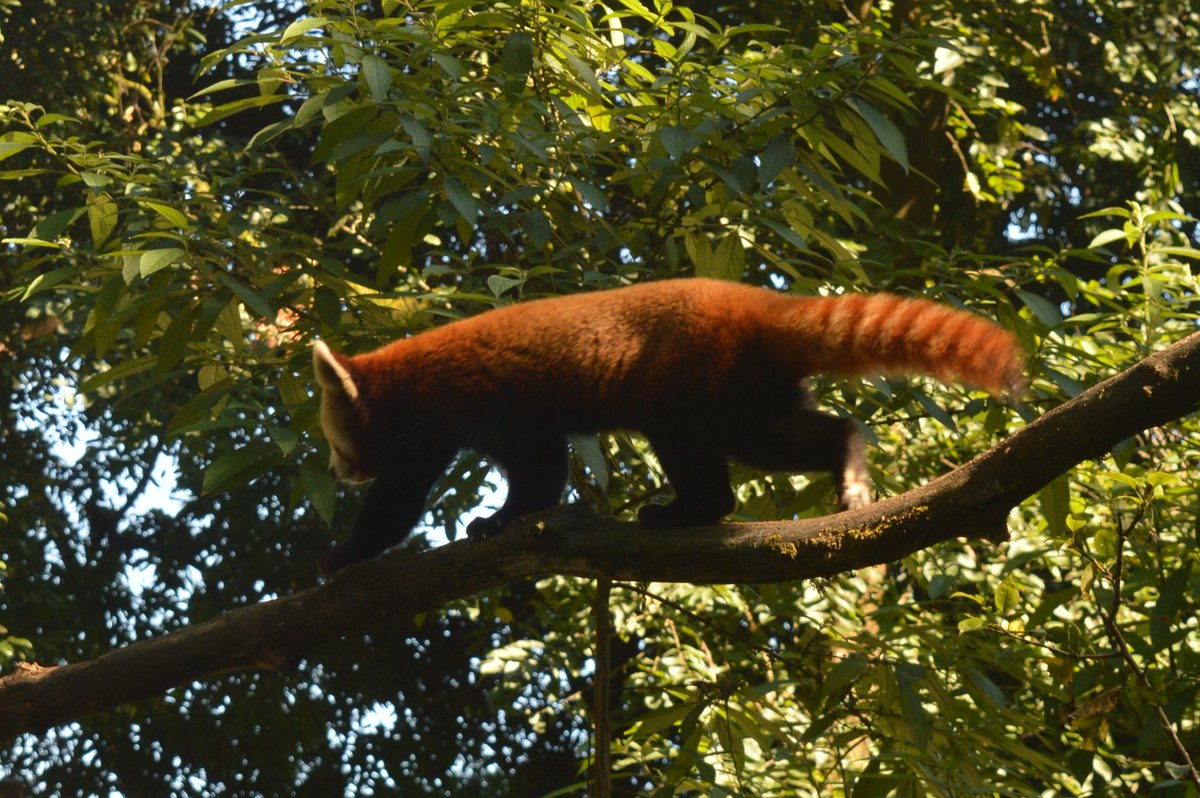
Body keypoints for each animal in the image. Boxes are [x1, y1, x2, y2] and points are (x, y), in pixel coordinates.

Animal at [312, 277, 1022, 568]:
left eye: (333, 440)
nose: (336, 471)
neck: (395, 380)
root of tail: (752, 303)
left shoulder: (457, 413)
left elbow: (408, 501)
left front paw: (341, 555)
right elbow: (540, 469)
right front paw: (507, 520)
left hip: (689, 380)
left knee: (698, 454)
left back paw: (684, 510)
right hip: (745, 392)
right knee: (780, 439)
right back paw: (846, 459)